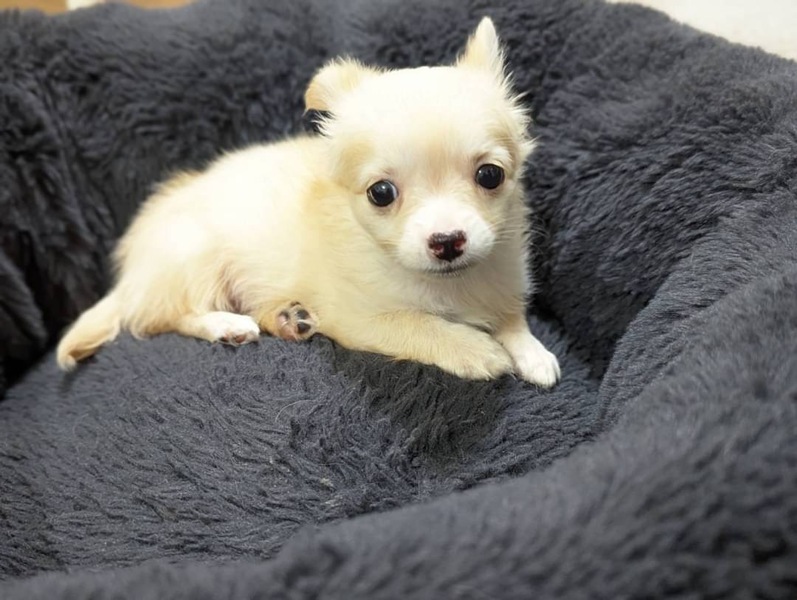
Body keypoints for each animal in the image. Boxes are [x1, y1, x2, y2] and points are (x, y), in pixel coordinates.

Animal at [57, 18, 561, 386]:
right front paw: (476, 350)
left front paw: (532, 352)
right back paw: (226, 325)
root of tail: (133, 272)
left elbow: (512, 316)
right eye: (381, 193)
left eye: (490, 176)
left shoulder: (502, 279)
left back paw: (287, 318)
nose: (448, 241)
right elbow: (419, 326)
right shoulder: (360, 317)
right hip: (194, 258)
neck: (450, 285)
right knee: (160, 318)